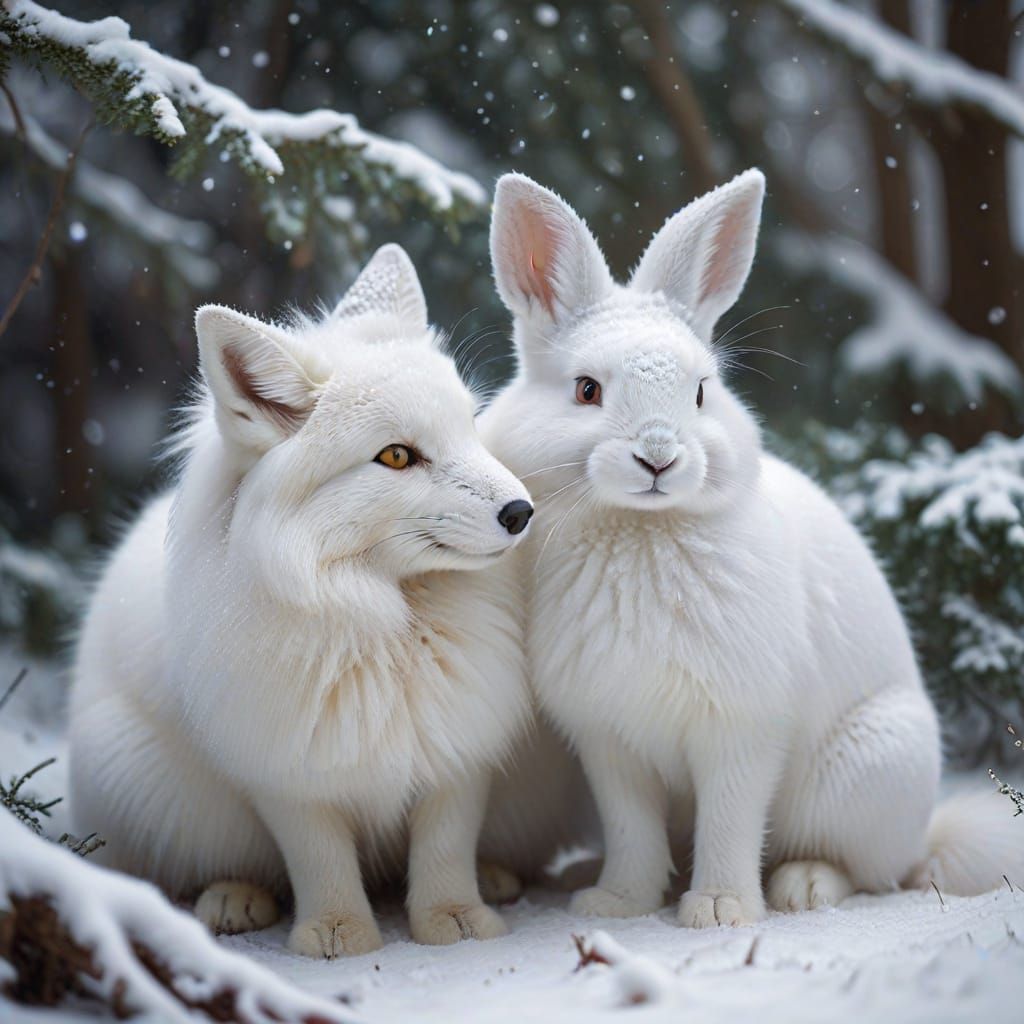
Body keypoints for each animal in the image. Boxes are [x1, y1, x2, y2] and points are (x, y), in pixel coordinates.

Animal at [68, 244, 535, 957]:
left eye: (469, 428)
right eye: (396, 456)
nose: (521, 512)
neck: (382, 623)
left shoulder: (460, 742)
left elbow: (446, 846)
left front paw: (454, 917)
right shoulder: (285, 771)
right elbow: (319, 858)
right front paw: (339, 930)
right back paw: (233, 897)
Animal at [479, 169, 1024, 928]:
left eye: (702, 392)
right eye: (586, 390)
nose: (659, 457)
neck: (643, 528)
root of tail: (924, 832)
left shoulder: (741, 730)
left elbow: (732, 818)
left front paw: (721, 910)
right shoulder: (611, 744)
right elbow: (631, 827)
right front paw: (616, 903)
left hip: (864, 775)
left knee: (871, 872)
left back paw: (804, 887)